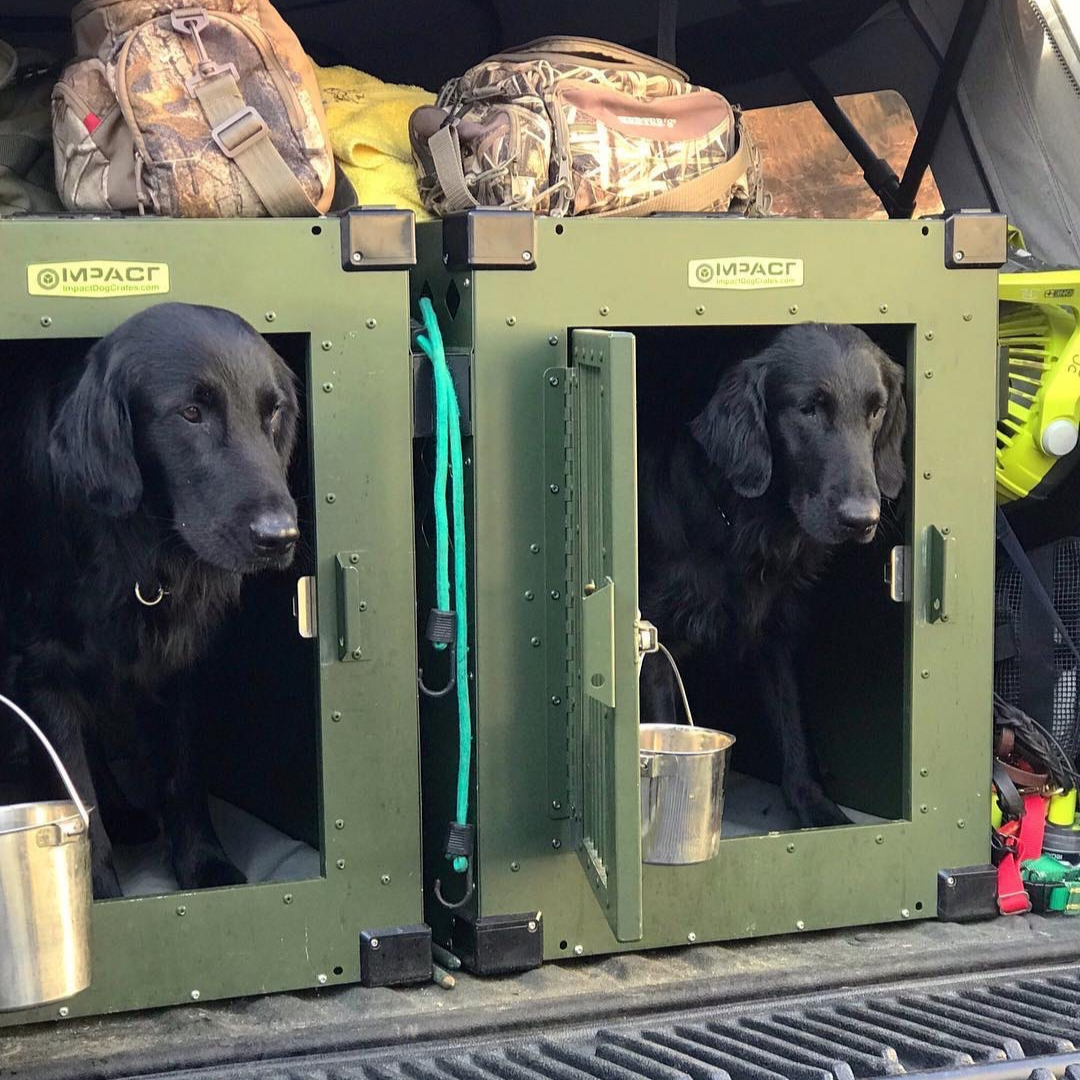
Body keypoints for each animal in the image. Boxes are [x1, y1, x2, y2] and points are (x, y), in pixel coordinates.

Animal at [0, 302, 298, 894]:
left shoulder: (179, 660)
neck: (135, 543)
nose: (280, 537)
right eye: (190, 413)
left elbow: (183, 772)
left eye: (273, 412)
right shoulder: (41, 670)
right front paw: (96, 893)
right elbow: (74, 793)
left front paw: (204, 864)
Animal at [635, 319, 907, 825]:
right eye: (808, 409)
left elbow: (792, 724)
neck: (741, 526)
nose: (862, 519)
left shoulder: (777, 630)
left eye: (876, 410)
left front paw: (816, 808)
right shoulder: (656, 643)